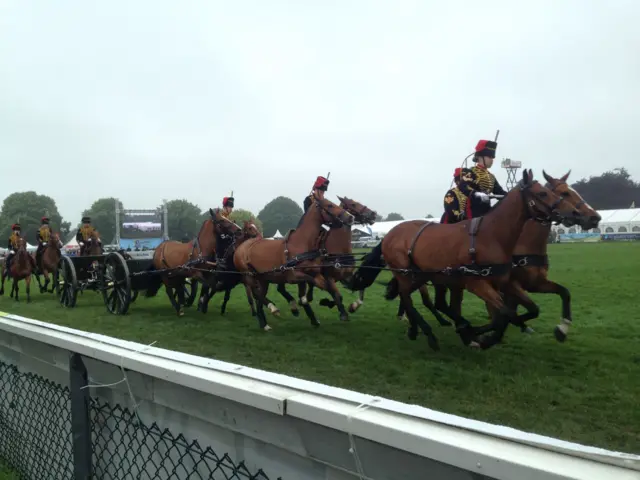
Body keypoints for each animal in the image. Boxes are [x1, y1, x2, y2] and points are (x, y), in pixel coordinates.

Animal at [232, 194, 352, 330]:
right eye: (329, 205)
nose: (350, 217)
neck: (302, 244)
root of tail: (241, 246)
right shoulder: (294, 276)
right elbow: (317, 286)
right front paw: (326, 305)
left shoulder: (314, 275)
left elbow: (327, 290)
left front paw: (328, 314)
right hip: (250, 276)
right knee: (256, 294)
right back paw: (272, 310)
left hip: (263, 279)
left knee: (259, 297)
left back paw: (264, 323)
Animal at [350, 171, 580, 350]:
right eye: (543, 193)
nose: (575, 213)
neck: (491, 236)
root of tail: (390, 233)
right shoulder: (476, 283)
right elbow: (505, 314)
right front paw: (479, 336)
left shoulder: (506, 282)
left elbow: (528, 310)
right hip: (408, 275)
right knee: (408, 298)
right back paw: (429, 334)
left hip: (425, 277)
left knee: (419, 300)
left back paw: (418, 329)